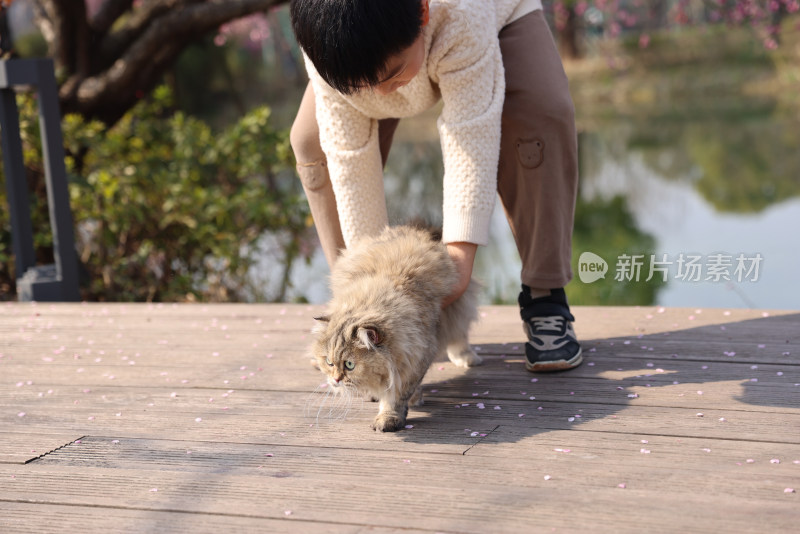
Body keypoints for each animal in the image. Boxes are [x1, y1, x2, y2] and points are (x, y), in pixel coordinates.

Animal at [312, 225, 482, 432]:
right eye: (329, 362)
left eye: (350, 365)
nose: (336, 380)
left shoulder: (415, 358)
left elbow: (395, 396)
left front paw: (388, 418)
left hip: (457, 307)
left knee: (459, 336)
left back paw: (467, 358)